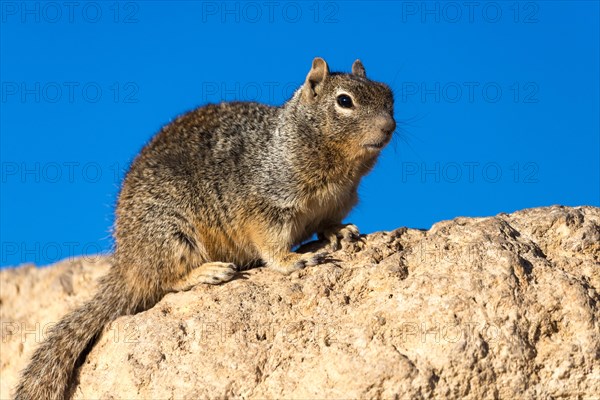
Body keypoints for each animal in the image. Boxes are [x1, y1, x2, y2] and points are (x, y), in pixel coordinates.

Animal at [14, 57, 396, 400]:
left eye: (389, 95)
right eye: (344, 101)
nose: (390, 127)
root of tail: (126, 261)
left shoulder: (337, 202)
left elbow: (328, 222)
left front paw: (340, 231)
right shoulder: (266, 206)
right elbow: (271, 246)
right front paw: (294, 261)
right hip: (172, 233)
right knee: (164, 281)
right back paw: (208, 272)